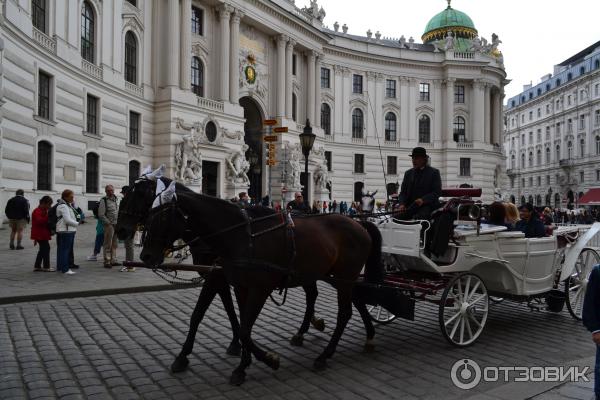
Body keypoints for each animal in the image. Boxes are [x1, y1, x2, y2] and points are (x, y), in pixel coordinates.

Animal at [115, 175, 326, 376]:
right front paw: (235, 344)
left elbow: (202, 313)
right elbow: (227, 310)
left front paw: (186, 355)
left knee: (312, 294)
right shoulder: (221, 278)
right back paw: (309, 326)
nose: (120, 231)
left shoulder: (217, 278)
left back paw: (306, 330)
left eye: (137, 197)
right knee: (312, 293)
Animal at [139, 188, 380, 384]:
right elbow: (238, 323)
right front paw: (242, 365)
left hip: (343, 276)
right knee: (337, 299)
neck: (241, 236)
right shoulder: (239, 286)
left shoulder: (258, 289)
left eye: (162, 218)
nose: (145, 256)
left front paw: (268, 359)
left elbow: (244, 329)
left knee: (344, 312)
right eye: (148, 215)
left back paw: (325, 355)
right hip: (327, 275)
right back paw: (362, 335)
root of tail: (359, 223)